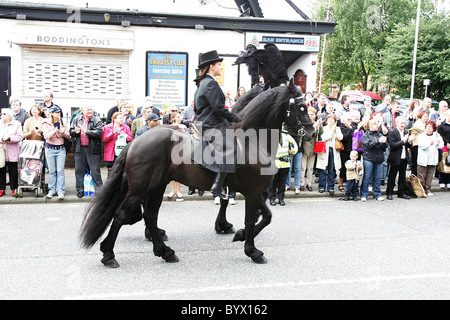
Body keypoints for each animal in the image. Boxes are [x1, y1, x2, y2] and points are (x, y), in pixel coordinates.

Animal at [80, 78, 312, 268]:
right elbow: (253, 219)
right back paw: (109, 254)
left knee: (150, 216)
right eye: (301, 106)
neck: (252, 140)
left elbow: (265, 217)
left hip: (156, 186)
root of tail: (136, 141)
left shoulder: (254, 192)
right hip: (140, 188)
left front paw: (238, 234)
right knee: (122, 215)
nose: (310, 131)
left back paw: (164, 251)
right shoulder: (253, 192)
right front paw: (252, 250)